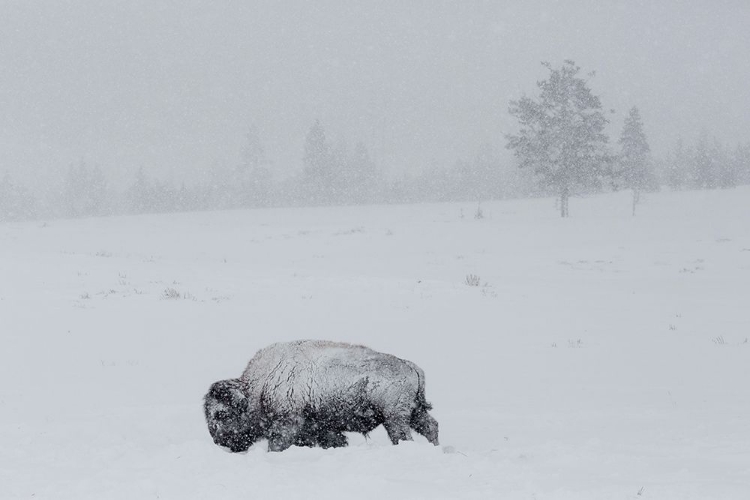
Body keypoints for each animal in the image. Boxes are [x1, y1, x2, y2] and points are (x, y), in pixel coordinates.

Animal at [206, 340, 440, 454]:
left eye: (221, 414)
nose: (218, 441)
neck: (259, 387)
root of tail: (411, 366)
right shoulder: (320, 427)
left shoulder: (287, 423)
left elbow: (277, 443)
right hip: (414, 413)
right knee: (430, 426)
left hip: (394, 418)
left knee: (404, 436)